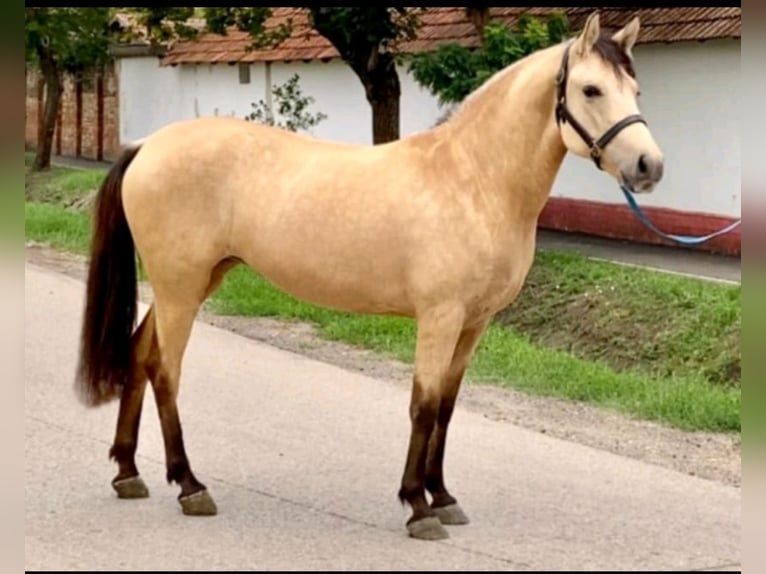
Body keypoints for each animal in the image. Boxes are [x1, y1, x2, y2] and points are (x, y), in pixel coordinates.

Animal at [75, 12, 664, 541]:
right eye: (591, 89)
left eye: (635, 88)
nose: (648, 167)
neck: (473, 179)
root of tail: (146, 146)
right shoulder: (439, 317)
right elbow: (423, 405)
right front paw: (418, 507)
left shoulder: (473, 324)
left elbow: (447, 406)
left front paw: (443, 496)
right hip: (181, 287)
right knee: (165, 371)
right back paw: (190, 486)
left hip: (192, 283)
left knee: (138, 354)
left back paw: (128, 473)